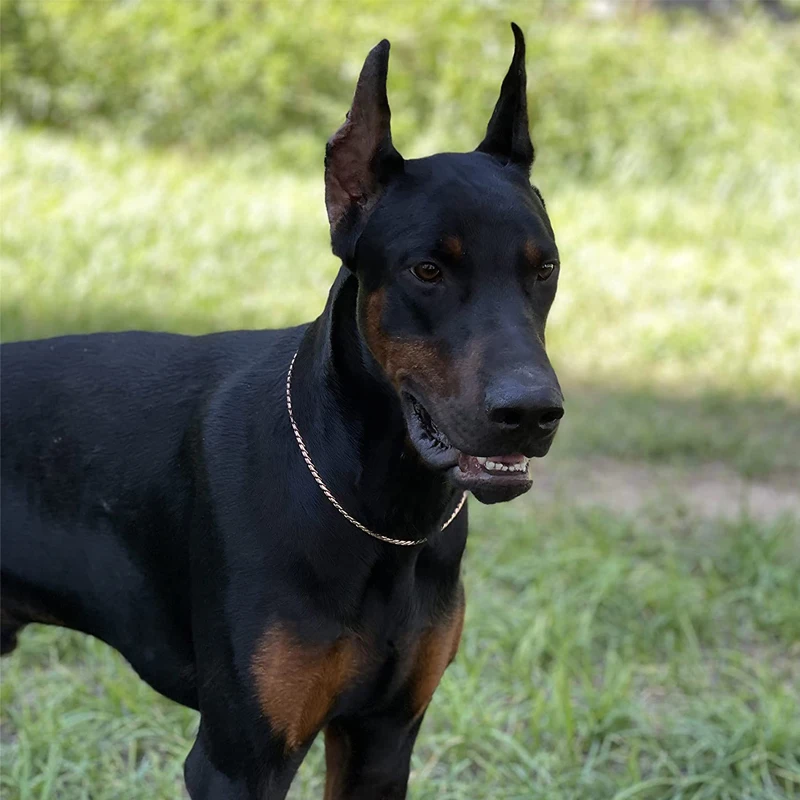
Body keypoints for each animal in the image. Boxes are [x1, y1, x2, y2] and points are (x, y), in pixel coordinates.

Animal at [1, 25, 564, 800]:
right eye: (427, 270)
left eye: (545, 268)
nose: (533, 411)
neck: (380, 508)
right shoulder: (241, 760)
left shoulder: (384, 738)